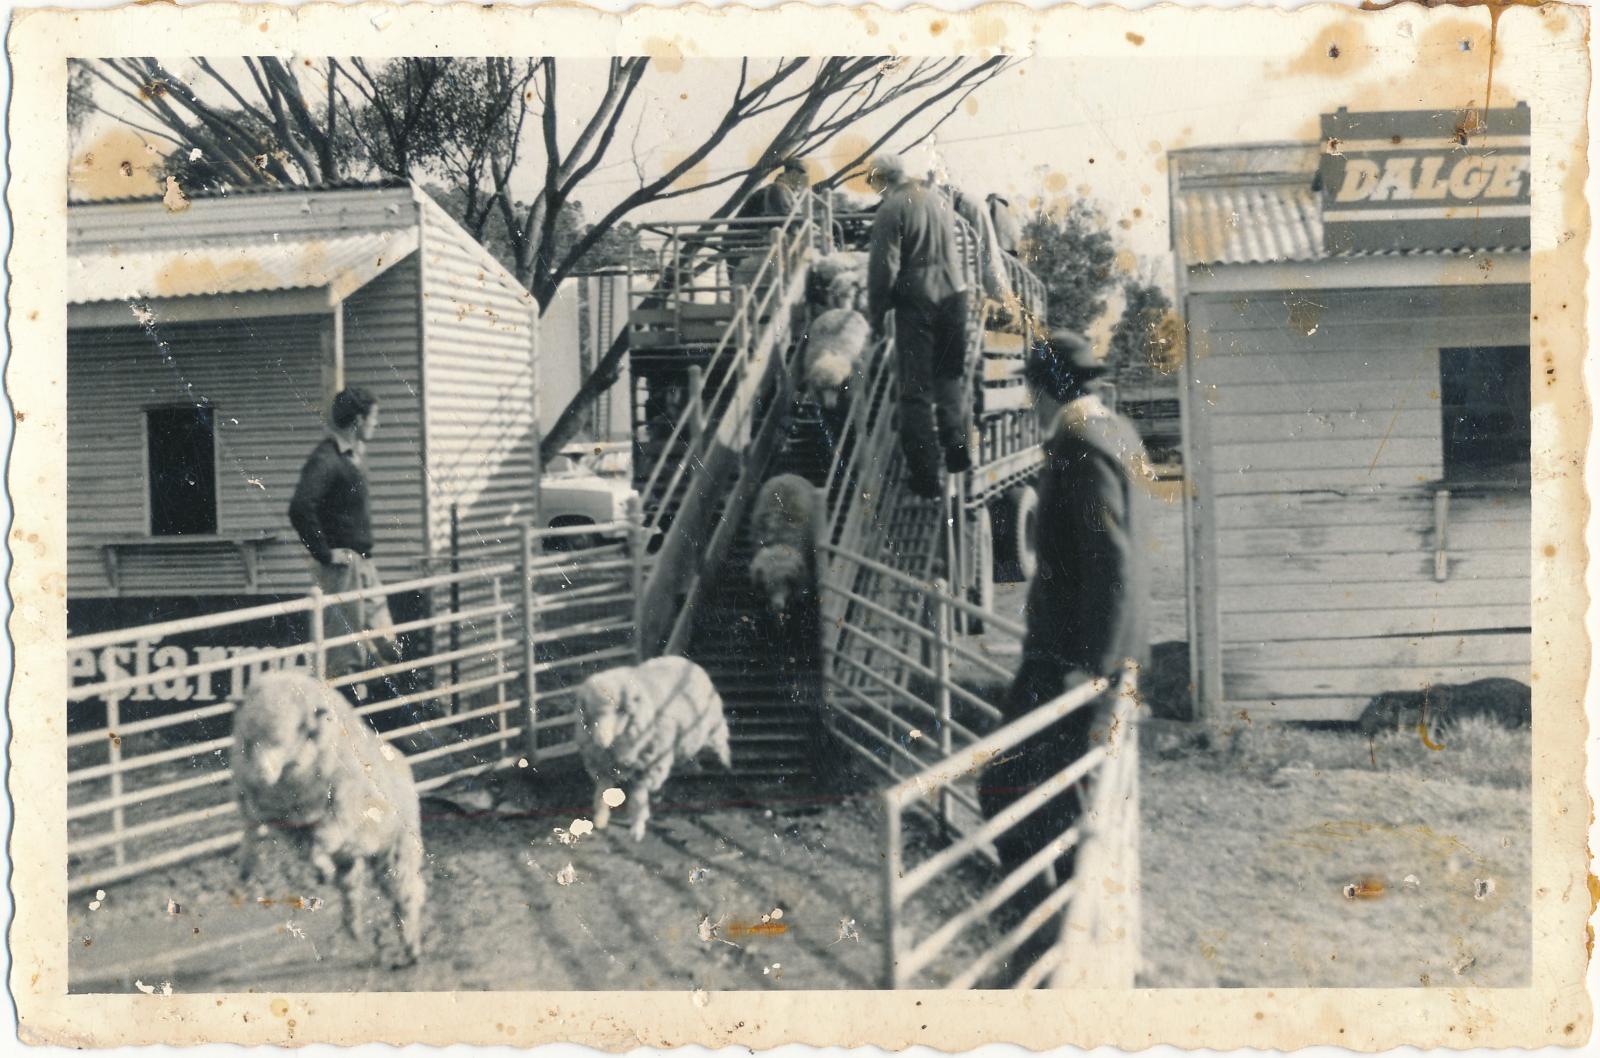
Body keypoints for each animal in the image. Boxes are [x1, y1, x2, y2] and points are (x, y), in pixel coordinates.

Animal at [232, 669, 428, 966]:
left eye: (280, 741)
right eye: (248, 742)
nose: (258, 778)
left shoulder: (339, 819)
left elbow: (318, 845)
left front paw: (320, 869)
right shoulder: (276, 818)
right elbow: (258, 834)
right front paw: (246, 867)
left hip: (396, 851)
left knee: (406, 896)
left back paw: (412, 948)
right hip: (353, 856)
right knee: (351, 891)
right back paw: (352, 932)